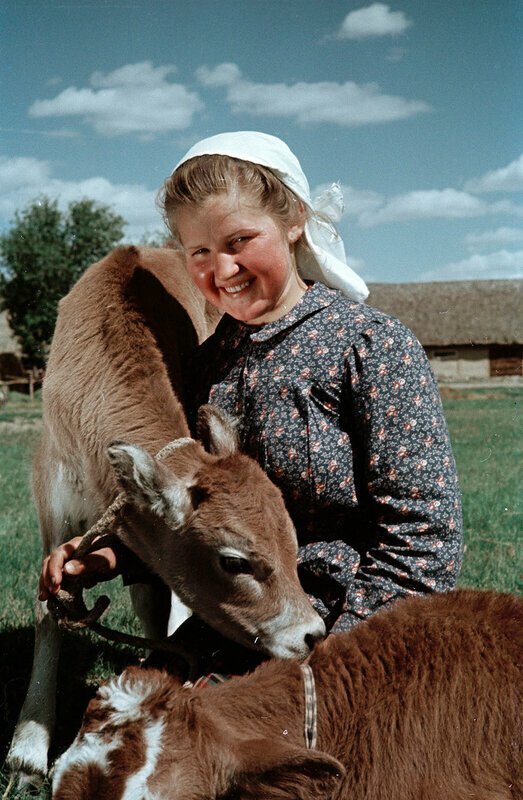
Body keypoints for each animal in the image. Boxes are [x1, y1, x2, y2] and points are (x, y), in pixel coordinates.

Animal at [8, 245, 326, 788]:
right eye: (234, 561)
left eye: (292, 542)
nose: (311, 633)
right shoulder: (52, 504)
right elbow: (49, 611)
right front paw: (27, 750)